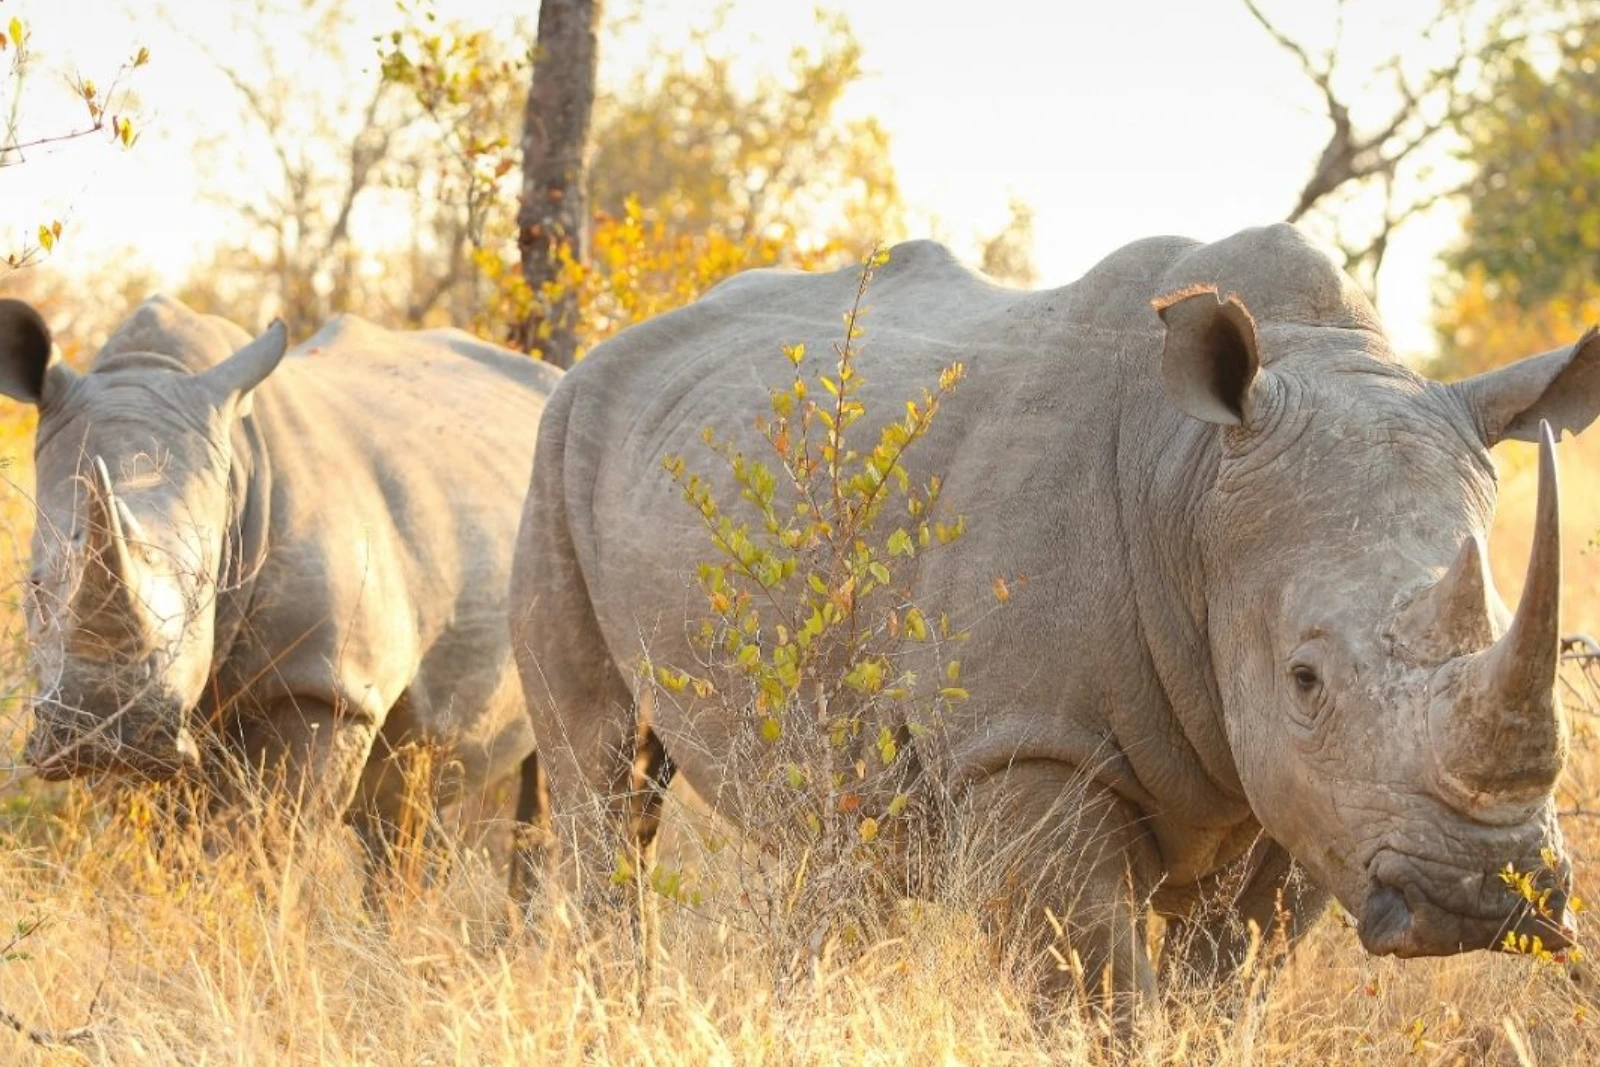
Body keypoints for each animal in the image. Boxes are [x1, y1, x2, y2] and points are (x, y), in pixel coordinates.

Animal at [0, 295, 553, 873]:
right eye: (35, 586)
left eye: (202, 590)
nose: (107, 730)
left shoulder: (322, 682)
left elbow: (262, 842)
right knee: (412, 789)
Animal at [507, 224, 1599, 1006]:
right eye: (1304, 677)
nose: (1483, 892)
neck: (1193, 488)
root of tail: (601, 352)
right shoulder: (1026, 741)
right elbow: (1095, 992)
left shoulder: (1314, 799)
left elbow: (1225, 985)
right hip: (556, 446)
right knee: (603, 778)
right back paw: (618, 1002)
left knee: (840, 839)